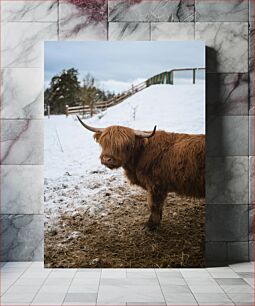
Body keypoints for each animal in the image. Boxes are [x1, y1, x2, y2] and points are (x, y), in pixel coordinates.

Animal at [76, 116, 204, 231]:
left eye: (124, 145)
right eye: (104, 142)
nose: (107, 159)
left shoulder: (156, 186)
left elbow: (154, 205)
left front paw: (150, 226)